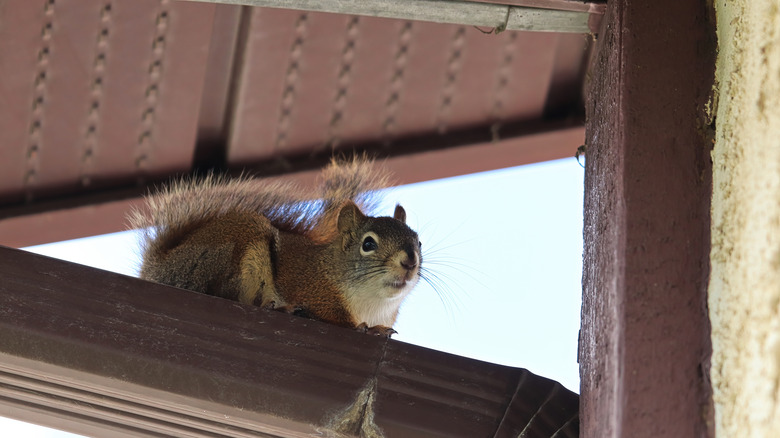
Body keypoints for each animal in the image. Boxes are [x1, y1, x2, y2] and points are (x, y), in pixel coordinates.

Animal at [129, 157, 420, 336]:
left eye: (418, 241)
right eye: (368, 243)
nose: (410, 261)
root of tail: (160, 268)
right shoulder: (316, 292)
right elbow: (336, 318)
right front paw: (367, 329)